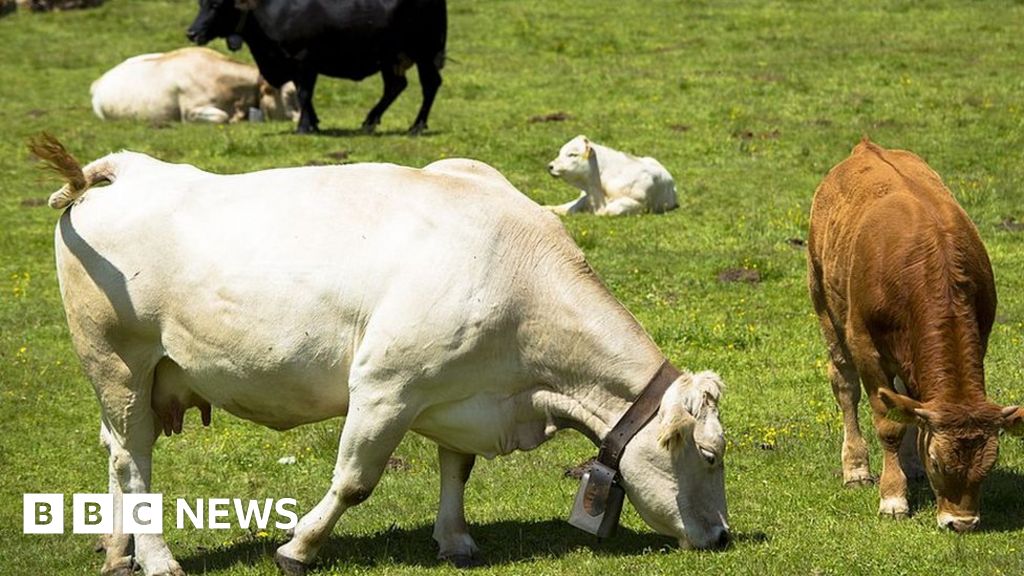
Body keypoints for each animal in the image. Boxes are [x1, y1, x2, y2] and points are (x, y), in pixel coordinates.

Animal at [187, 0, 444, 133]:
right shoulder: (294, 63)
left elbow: (304, 93)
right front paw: (313, 123)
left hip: (424, 53)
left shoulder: (304, 60)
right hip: (391, 58)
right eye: (201, 3)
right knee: (395, 86)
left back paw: (417, 126)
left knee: (430, 85)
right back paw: (369, 122)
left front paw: (303, 127)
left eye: (216, 5)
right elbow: (304, 95)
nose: (192, 33)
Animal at [544, 135, 679, 216]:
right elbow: (571, 208)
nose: (550, 166)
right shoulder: (587, 196)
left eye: (573, 154)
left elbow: (609, 210)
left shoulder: (638, 203)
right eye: (560, 152)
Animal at [811, 138, 1019, 528]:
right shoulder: (866, 347)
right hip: (824, 305)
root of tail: (865, 147)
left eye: (991, 463)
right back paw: (856, 468)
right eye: (938, 461)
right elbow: (888, 425)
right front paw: (893, 498)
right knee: (845, 386)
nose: (961, 522)